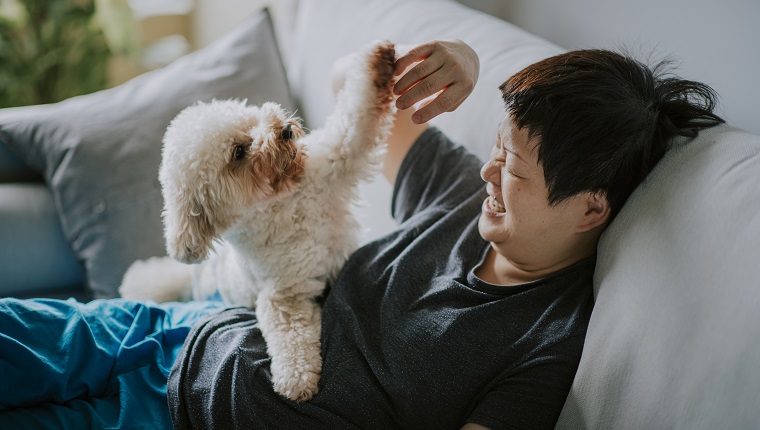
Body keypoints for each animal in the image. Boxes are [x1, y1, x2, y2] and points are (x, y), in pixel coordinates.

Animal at [121, 41, 394, 404]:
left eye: (250, 121)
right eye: (238, 152)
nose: (284, 129)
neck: (283, 203)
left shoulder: (337, 156)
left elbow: (356, 117)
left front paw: (380, 63)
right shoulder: (283, 295)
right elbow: (289, 336)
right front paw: (296, 380)